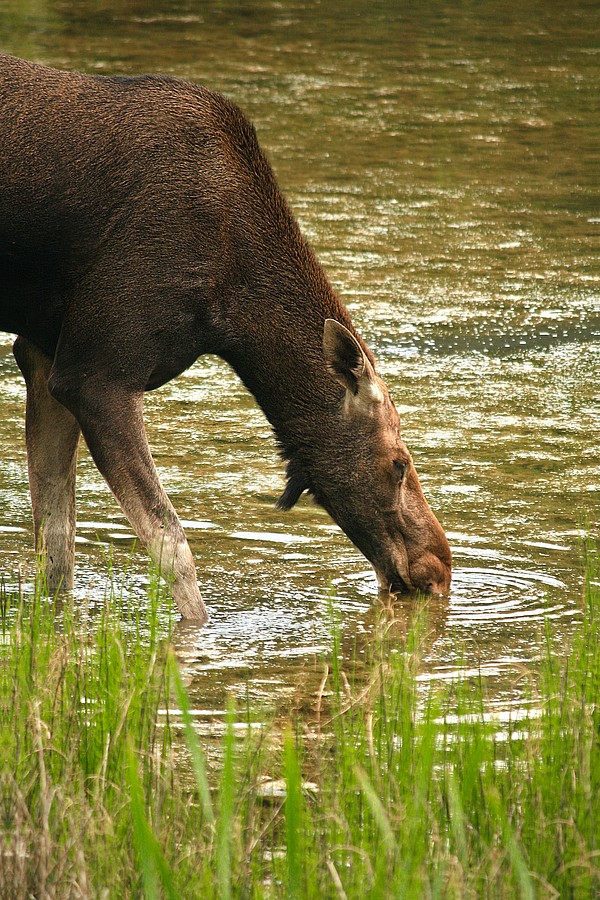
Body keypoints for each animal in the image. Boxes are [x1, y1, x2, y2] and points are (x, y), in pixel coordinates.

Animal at [0, 52, 450, 624]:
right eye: (399, 463)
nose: (439, 567)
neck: (230, 310)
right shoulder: (94, 371)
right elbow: (171, 543)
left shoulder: (41, 351)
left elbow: (56, 546)